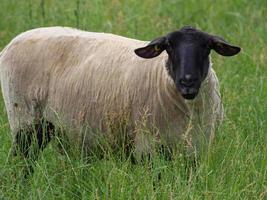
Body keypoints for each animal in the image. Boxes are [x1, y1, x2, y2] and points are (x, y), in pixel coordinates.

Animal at [0, 26, 242, 161]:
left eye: (207, 47)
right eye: (169, 47)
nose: (187, 81)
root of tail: (12, 42)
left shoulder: (196, 150)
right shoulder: (147, 146)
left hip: (50, 127)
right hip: (24, 121)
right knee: (21, 165)